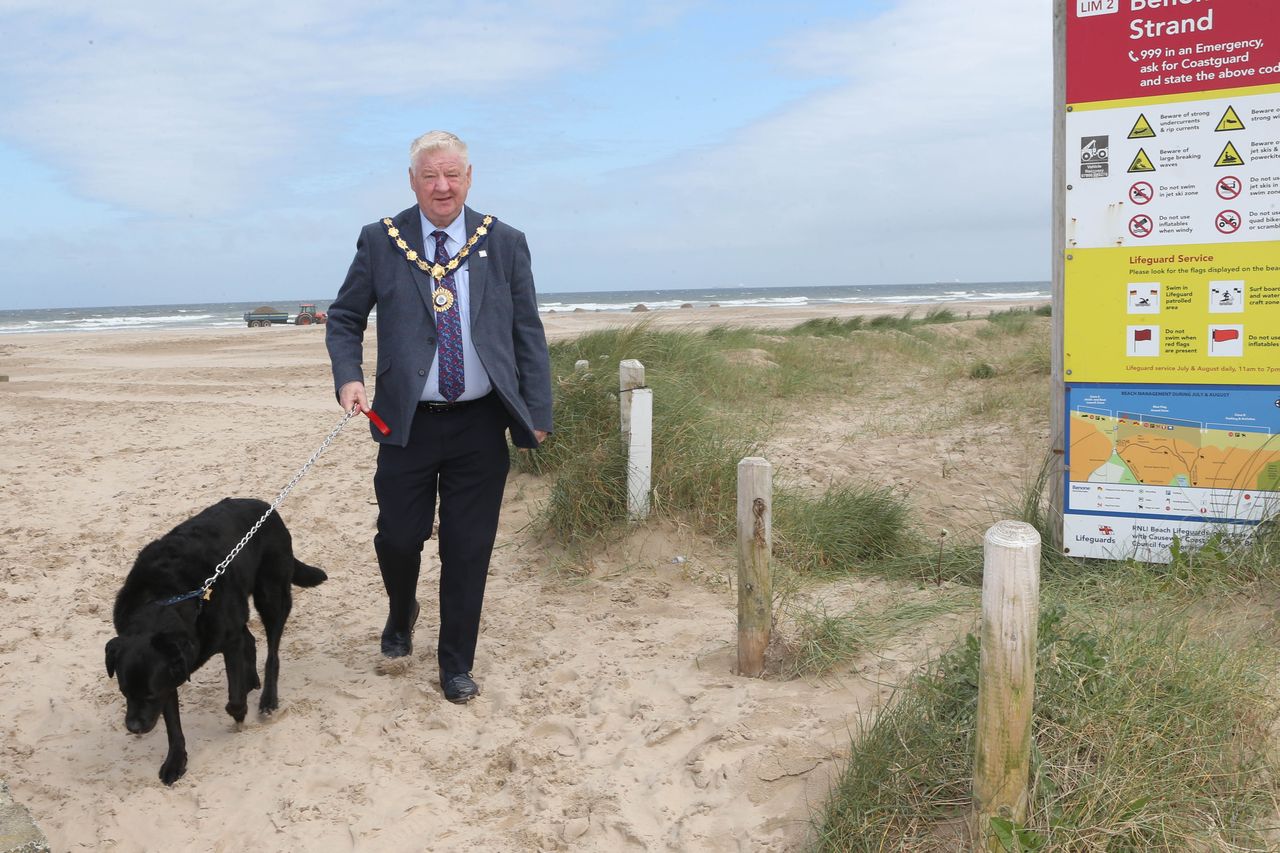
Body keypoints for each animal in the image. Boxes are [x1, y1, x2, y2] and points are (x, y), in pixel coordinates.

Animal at [105, 499, 327, 783]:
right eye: (124, 691)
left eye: (149, 694)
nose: (133, 727)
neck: (163, 598)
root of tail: (267, 506)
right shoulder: (171, 672)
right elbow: (173, 726)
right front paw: (175, 762)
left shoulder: (226, 643)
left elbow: (234, 697)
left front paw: (240, 712)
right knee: (250, 640)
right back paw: (252, 681)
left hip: (272, 595)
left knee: (272, 654)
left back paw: (267, 699)